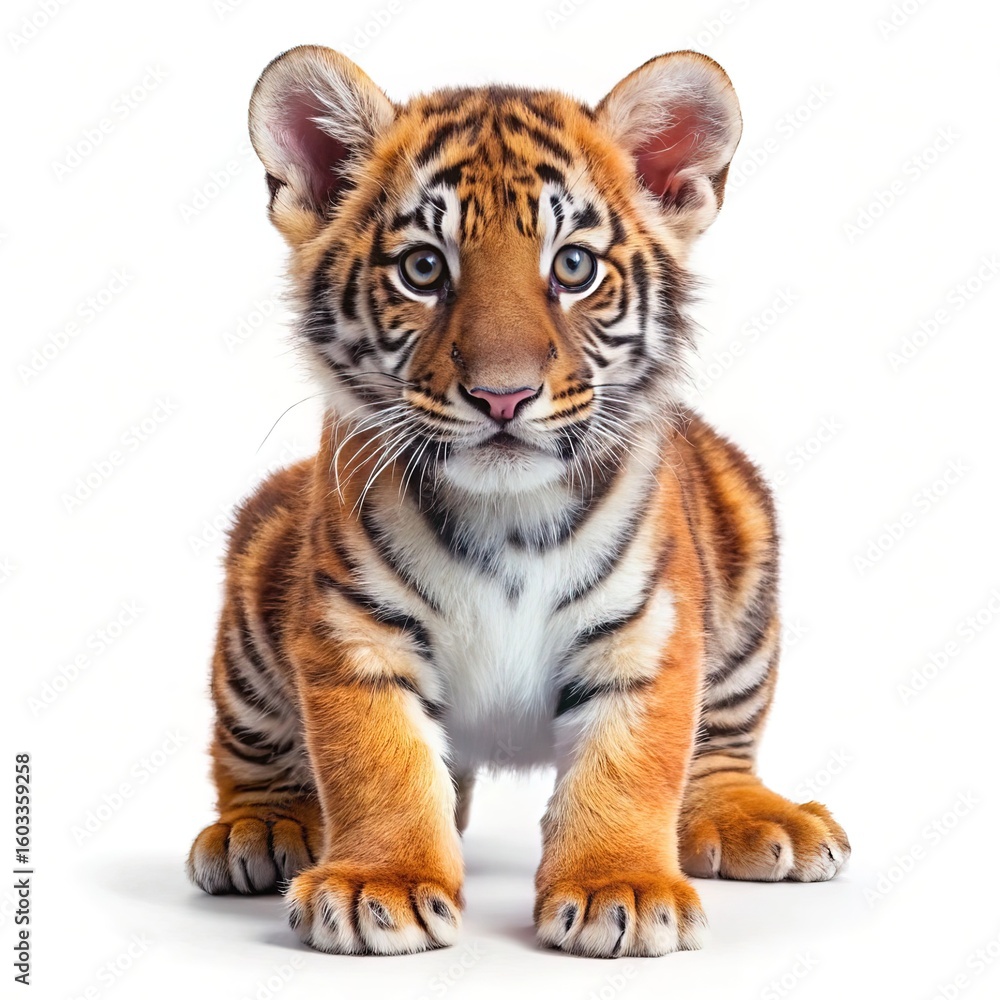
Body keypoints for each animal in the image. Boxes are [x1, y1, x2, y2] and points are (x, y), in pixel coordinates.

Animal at [186, 45, 850, 958]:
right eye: (423, 268)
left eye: (573, 266)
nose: (503, 395)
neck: (506, 518)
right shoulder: (353, 631)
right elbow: (375, 763)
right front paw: (380, 884)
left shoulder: (648, 634)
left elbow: (632, 767)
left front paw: (620, 888)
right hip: (259, 577)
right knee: (250, 751)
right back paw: (263, 829)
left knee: (719, 748)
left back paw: (757, 819)